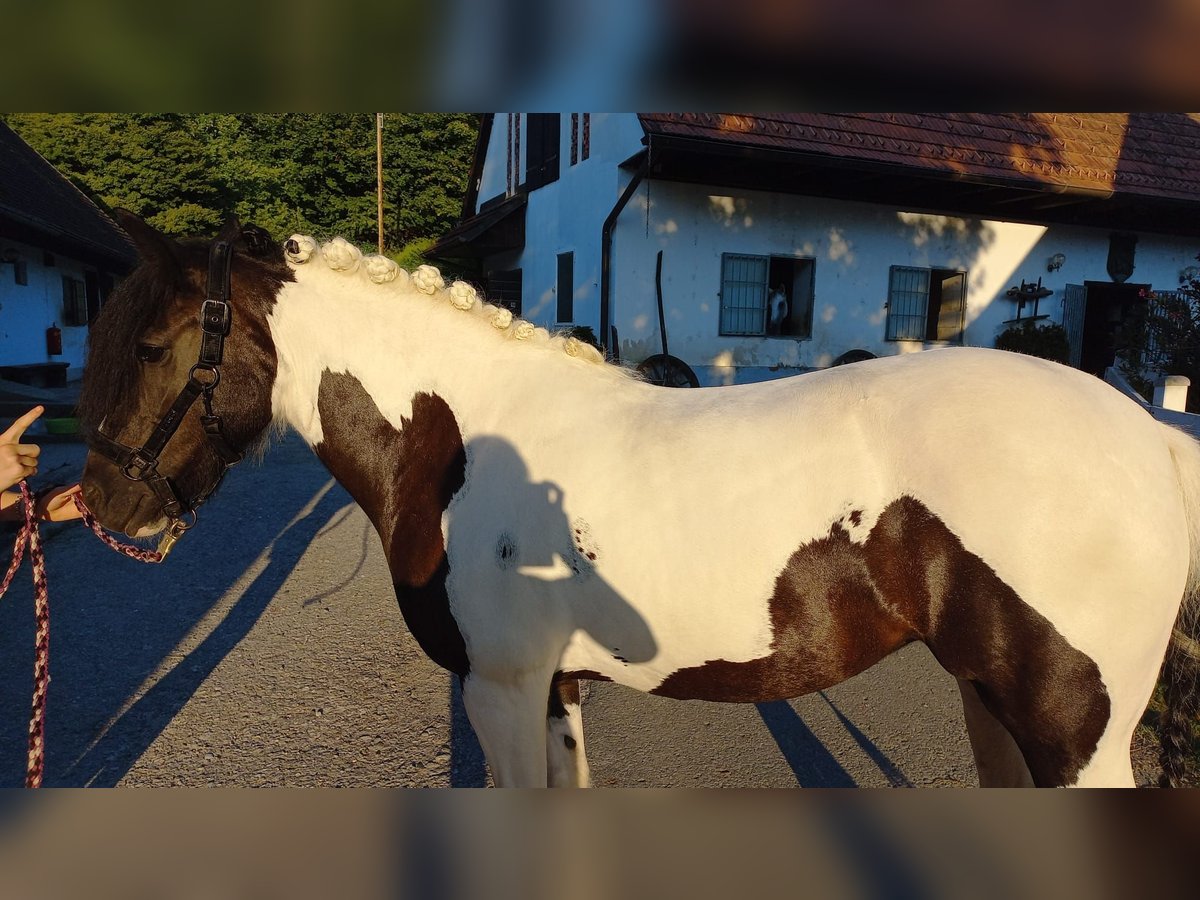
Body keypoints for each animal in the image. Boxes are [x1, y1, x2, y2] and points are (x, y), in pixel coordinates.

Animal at [79, 217, 1200, 787]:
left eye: (152, 344)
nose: (100, 508)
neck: (462, 443)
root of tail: (1151, 433)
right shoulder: (555, 692)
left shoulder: (499, 691)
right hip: (992, 708)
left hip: (1074, 737)